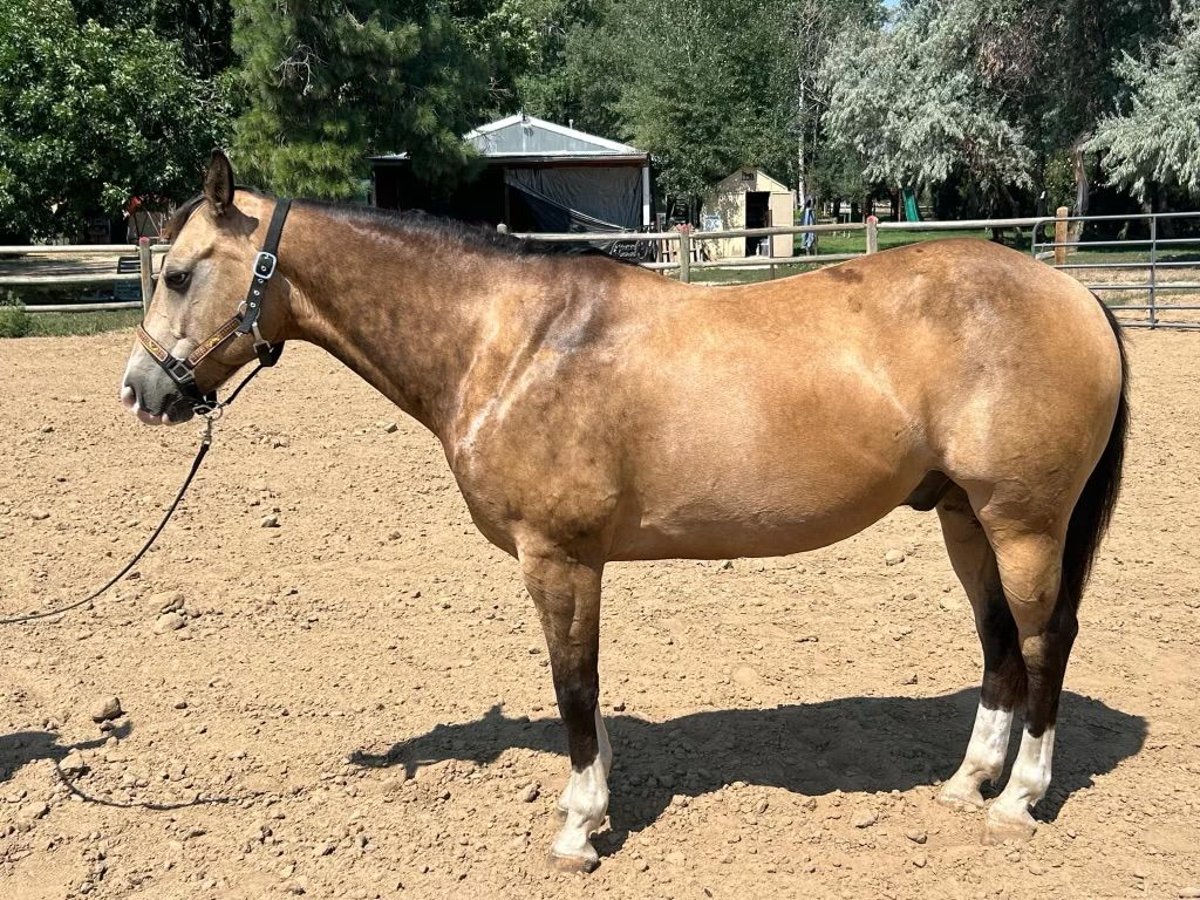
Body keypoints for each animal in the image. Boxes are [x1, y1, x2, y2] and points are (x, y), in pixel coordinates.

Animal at [119, 154, 1123, 873]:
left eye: (179, 275)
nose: (140, 391)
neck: (511, 342)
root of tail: (1076, 293)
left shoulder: (556, 558)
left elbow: (573, 686)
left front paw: (577, 830)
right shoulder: (578, 563)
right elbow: (589, 690)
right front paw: (596, 800)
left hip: (1023, 525)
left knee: (1045, 643)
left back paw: (1018, 798)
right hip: (964, 521)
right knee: (999, 645)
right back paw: (966, 782)